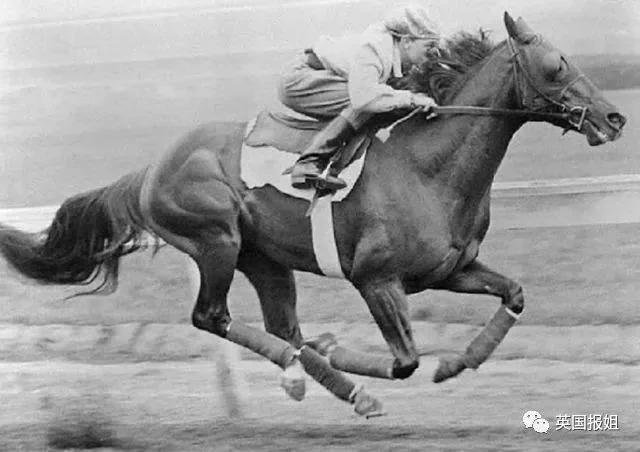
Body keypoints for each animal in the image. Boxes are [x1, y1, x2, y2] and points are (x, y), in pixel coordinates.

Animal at [0, 13, 626, 418]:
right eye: (556, 64)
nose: (615, 118)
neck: (429, 166)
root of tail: (151, 169)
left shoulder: (449, 271)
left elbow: (514, 293)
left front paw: (459, 363)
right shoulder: (376, 279)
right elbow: (405, 361)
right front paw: (346, 353)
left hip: (264, 259)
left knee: (280, 326)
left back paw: (324, 377)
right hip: (216, 240)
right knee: (213, 317)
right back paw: (305, 370)